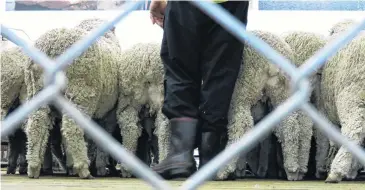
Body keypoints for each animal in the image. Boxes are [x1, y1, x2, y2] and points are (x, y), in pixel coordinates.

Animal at [24, 27, 118, 179]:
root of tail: (53, 45)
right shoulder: (109, 113)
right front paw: (99, 167)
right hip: (81, 90)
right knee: (72, 126)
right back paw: (83, 168)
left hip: (36, 91)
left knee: (36, 124)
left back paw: (33, 166)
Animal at [215, 29, 312, 181]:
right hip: (281, 89)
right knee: (289, 124)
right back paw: (291, 169)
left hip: (242, 88)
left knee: (242, 125)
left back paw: (225, 169)